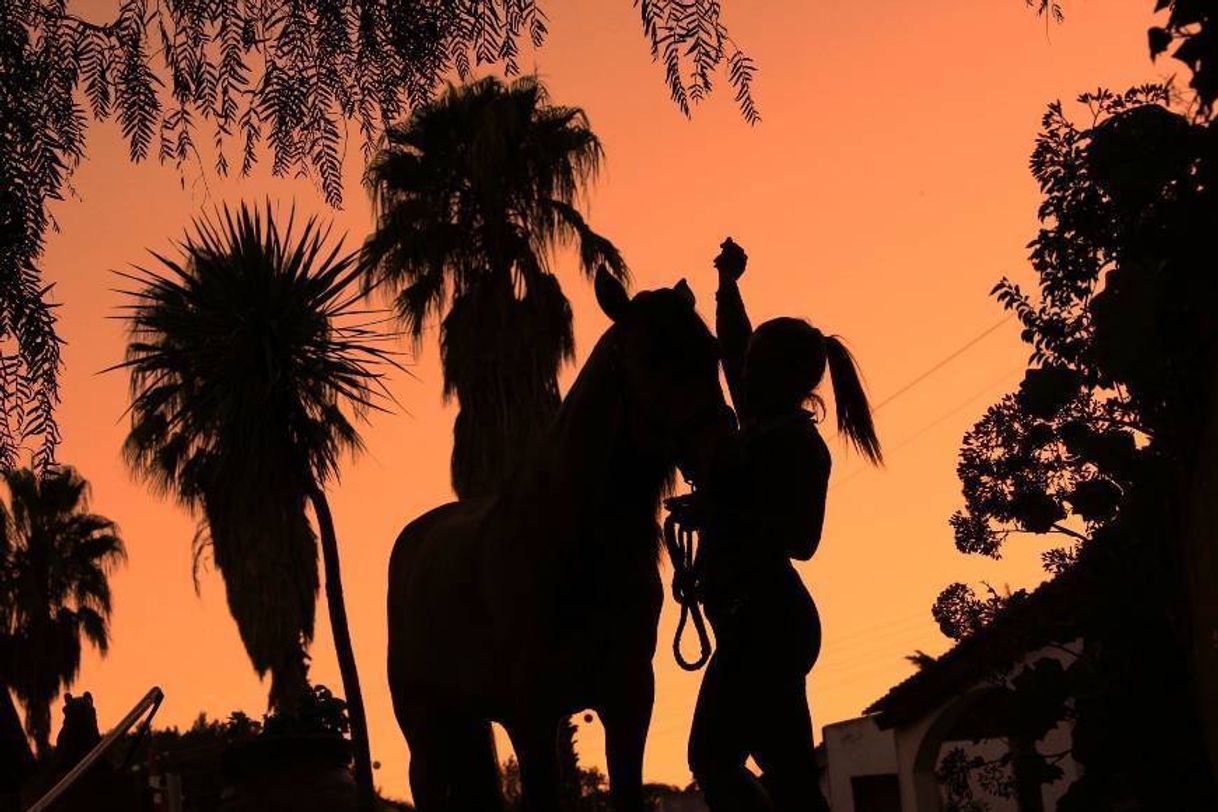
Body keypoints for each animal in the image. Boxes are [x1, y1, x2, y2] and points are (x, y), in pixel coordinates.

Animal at [387, 270, 730, 808]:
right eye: (651, 356)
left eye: (711, 351)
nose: (724, 454)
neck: (574, 547)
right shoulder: (531, 713)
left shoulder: (629, 698)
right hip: (425, 729)